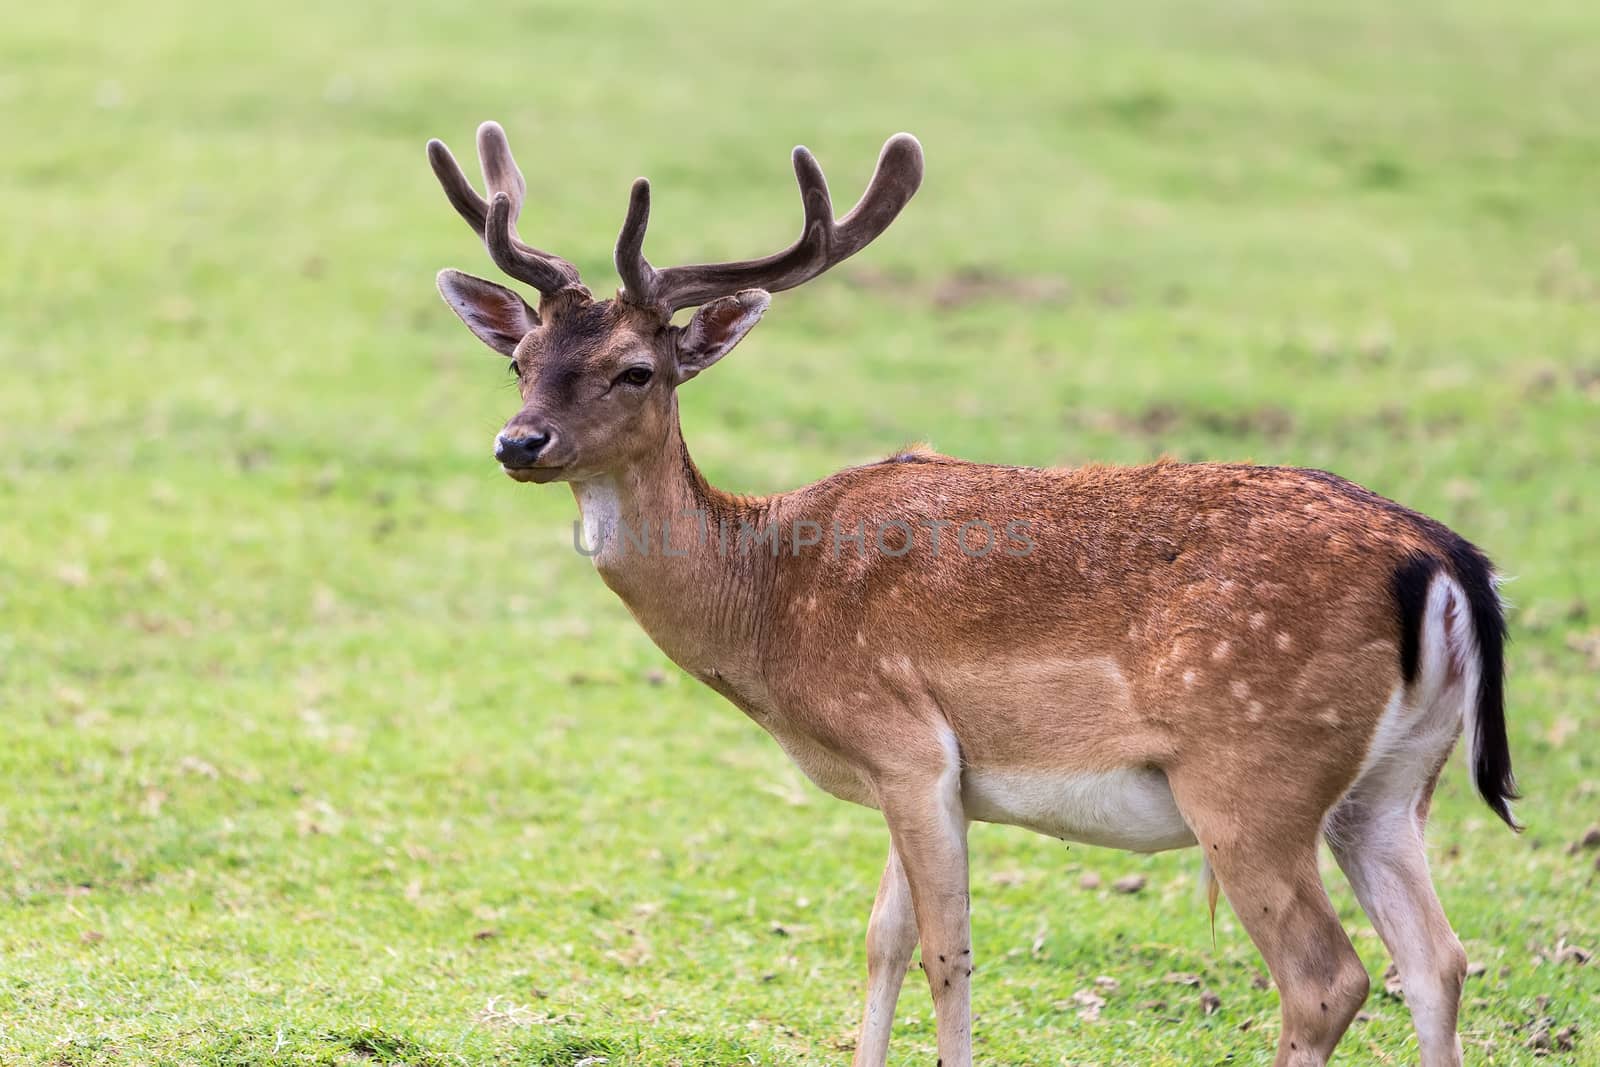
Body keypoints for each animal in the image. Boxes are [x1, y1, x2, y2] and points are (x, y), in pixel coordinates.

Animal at [422, 120, 1510, 1067]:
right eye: (519, 362)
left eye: (636, 370)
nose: (518, 442)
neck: (767, 600)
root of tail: (1446, 559)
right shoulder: (926, 776)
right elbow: (882, 937)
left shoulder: (903, 738)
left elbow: (946, 952)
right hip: (1389, 787)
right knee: (1439, 960)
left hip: (1252, 773)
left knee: (1327, 978)